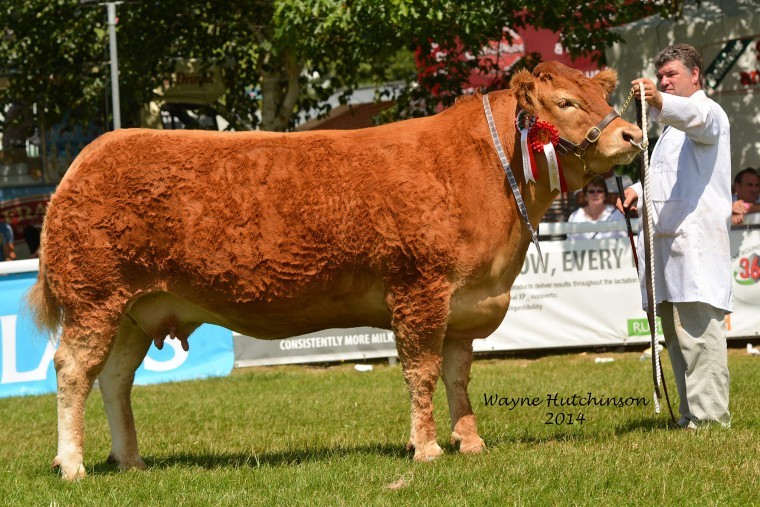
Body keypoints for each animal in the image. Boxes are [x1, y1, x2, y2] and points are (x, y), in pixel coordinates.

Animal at [29, 61, 640, 482]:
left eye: (603, 96)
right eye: (565, 101)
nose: (631, 135)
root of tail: (91, 154)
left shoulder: (464, 304)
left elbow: (457, 377)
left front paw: (469, 442)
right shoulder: (420, 290)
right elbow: (421, 374)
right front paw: (426, 449)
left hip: (135, 310)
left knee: (113, 378)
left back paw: (128, 459)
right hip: (94, 298)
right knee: (73, 370)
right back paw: (71, 463)